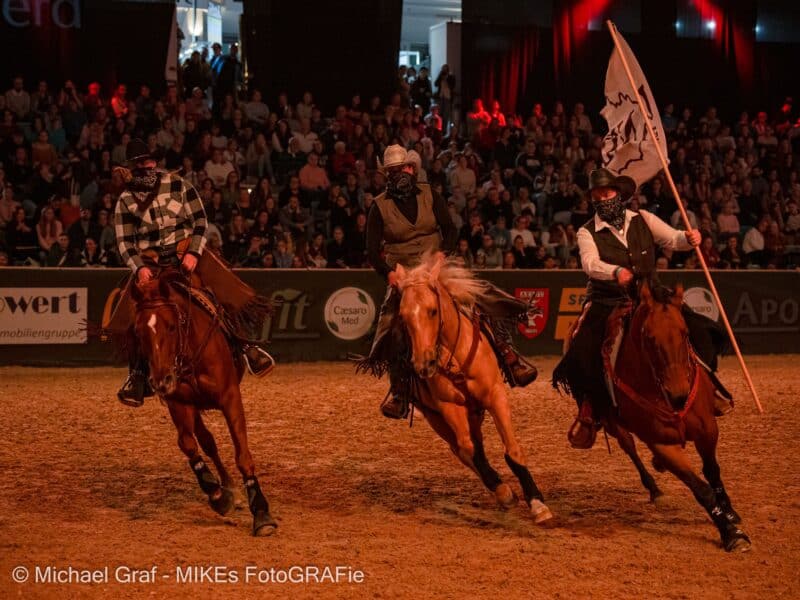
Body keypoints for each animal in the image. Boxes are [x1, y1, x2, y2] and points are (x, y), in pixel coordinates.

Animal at [129, 269, 277, 536]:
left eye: (172, 326)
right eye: (137, 331)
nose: (161, 381)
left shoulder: (231, 397)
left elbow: (242, 453)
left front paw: (261, 512)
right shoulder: (178, 402)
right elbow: (188, 445)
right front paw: (217, 494)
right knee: (208, 443)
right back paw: (228, 488)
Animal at [393, 253, 552, 523]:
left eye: (432, 311)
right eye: (403, 317)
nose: (424, 364)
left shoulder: (495, 395)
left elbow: (512, 450)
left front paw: (537, 503)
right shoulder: (449, 407)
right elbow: (469, 449)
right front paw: (504, 491)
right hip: (438, 418)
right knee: (463, 450)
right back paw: (500, 489)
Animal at [601, 280, 750, 551]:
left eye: (685, 333)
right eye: (648, 337)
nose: (679, 394)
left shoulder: (707, 429)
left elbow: (712, 472)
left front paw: (729, 512)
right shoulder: (660, 443)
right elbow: (701, 489)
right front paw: (731, 534)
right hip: (613, 424)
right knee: (629, 446)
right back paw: (654, 488)